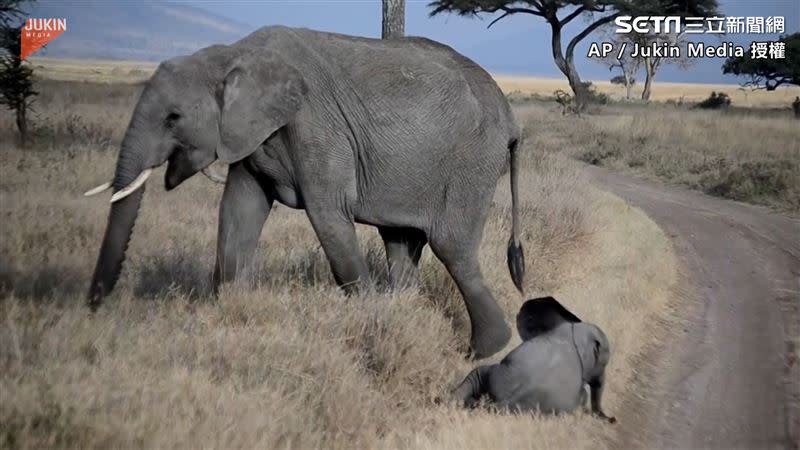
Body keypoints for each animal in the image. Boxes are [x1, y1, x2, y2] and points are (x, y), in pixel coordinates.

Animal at [86, 25, 524, 358]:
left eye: (173, 118)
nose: (92, 307)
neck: (232, 55)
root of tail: (510, 117)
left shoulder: (316, 127)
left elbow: (329, 216)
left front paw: (368, 316)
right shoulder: (252, 136)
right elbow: (238, 211)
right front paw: (231, 308)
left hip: (470, 165)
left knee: (452, 248)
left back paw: (484, 352)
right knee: (401, 244)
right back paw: (412, 314)